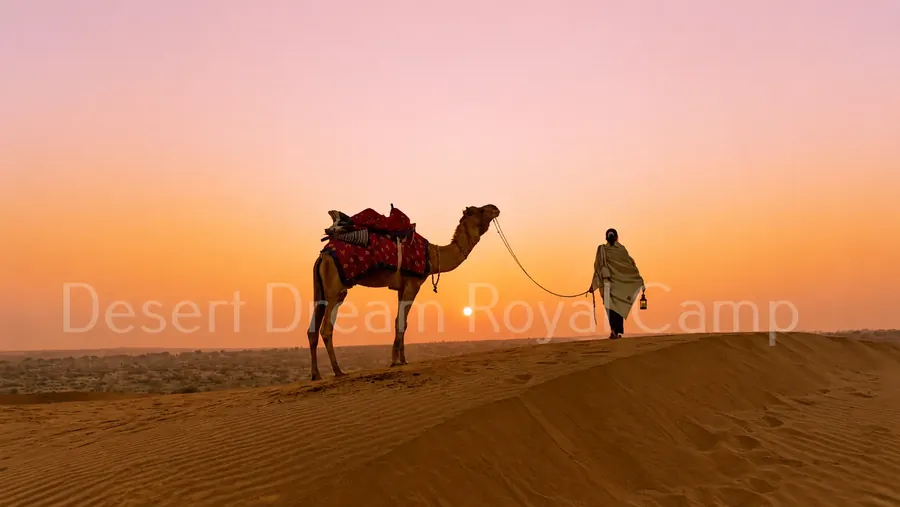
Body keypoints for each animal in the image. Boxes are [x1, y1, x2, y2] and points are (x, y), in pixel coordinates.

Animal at [306, 204, 500, 380]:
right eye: (480, 210)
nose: (495, 208)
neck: (432, 256)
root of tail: (322, 256)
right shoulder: (413, 284)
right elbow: (401, 321)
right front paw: (396, 362)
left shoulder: (402, 287)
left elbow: (401, 322)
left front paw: (402, 359)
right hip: (336, 287)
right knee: (326, 327)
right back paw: (338, 371)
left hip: (320, 290)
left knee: (312, 329)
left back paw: (316, 374)